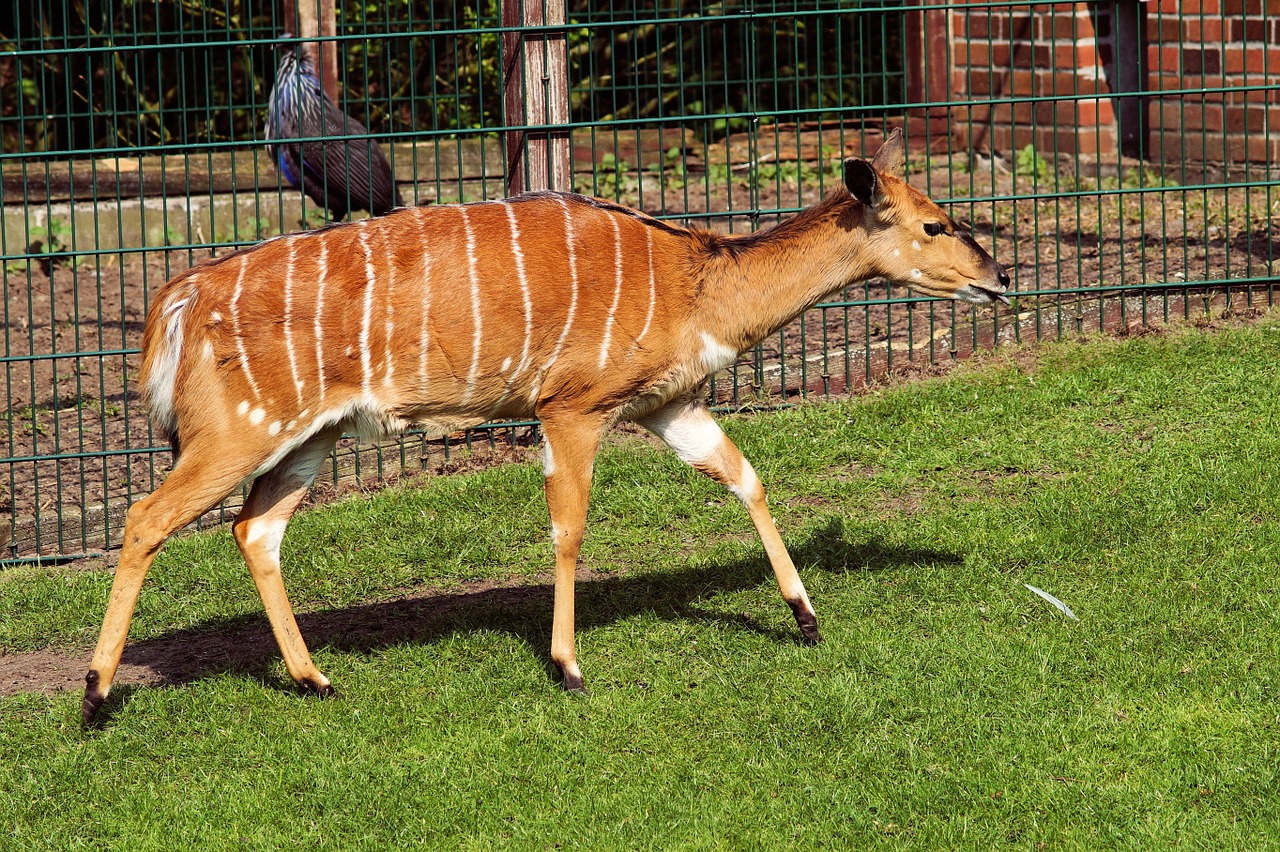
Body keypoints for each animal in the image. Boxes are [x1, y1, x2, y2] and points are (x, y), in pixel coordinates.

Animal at [82, 129, 1008, 721]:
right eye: (935, 224)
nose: (1001, 276)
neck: (701, 283)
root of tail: (176, 300)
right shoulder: (572, 407)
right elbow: (569, 526)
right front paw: (567, 667)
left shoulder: (669, 403)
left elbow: (743, 475)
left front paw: (806, 618)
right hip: (239, 430)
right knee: (147, 516)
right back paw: (94, 697)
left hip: (315, 434)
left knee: (255, 527)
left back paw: (316, 682)